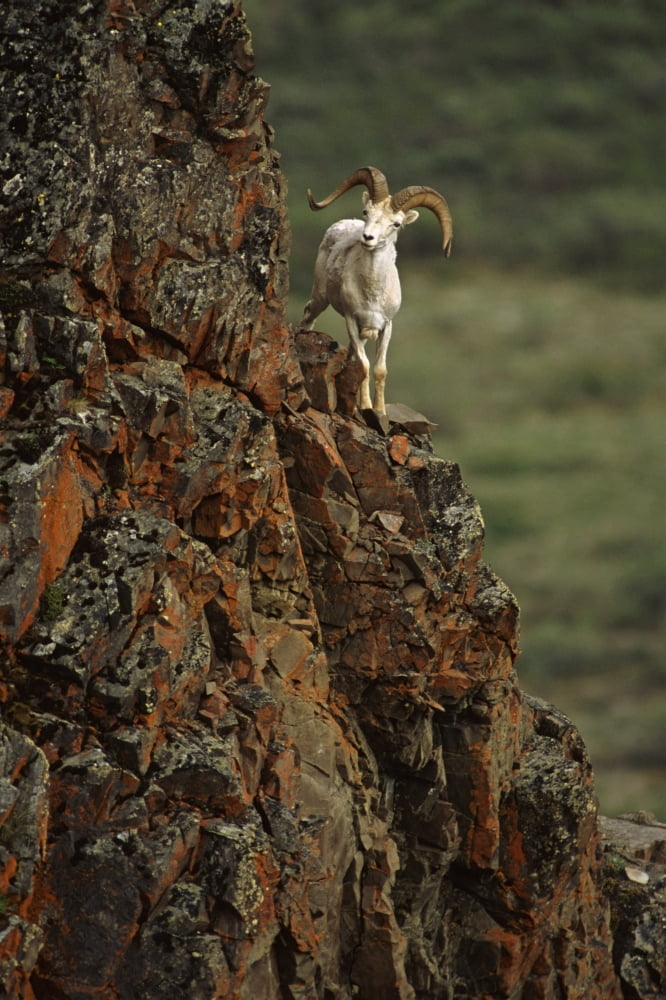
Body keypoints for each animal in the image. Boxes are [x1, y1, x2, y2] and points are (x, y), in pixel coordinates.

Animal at [300, 166, 452, 415]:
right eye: (366, 212)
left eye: (396, 224)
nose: (368, 237)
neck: (372, 292)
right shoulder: (352, 320)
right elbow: (363, 366)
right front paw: (365, 406)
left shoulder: (386, 326)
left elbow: (380, 369)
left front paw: (379, 411)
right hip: (321, 298)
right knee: (309, 315)